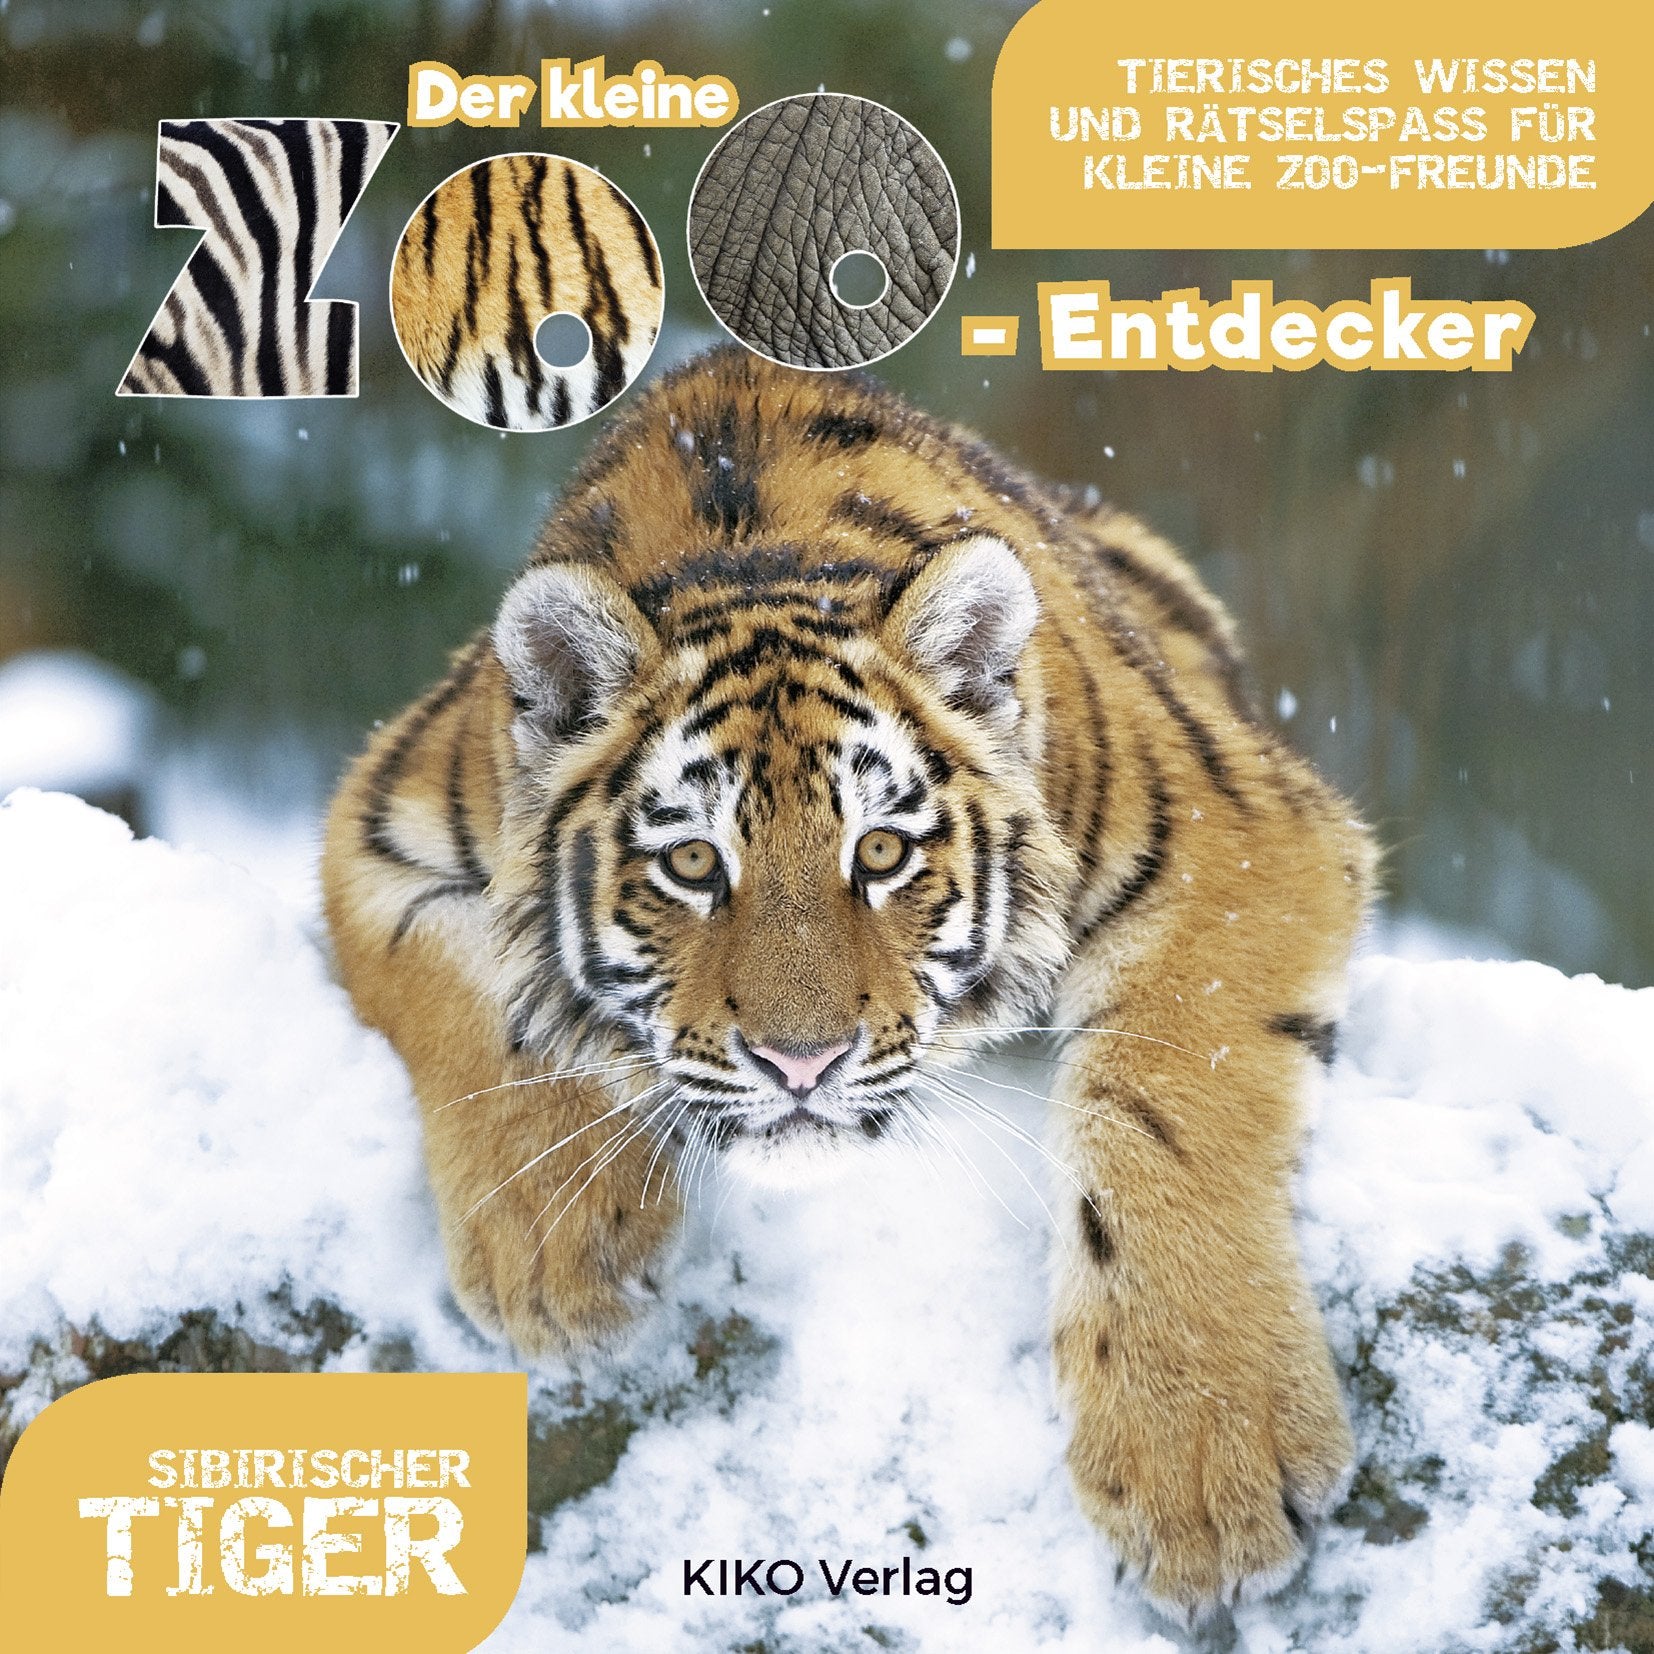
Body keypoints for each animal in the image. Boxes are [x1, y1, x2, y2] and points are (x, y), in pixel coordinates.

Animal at [321, 345, 1375, 1623]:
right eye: (690, 863)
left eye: (879, 852)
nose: (800, 1061)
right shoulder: (382, 820)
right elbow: (485, 1005)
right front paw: (558, 1256)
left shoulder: (1239, 831)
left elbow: (1164, 1103)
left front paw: (1204, 1465)